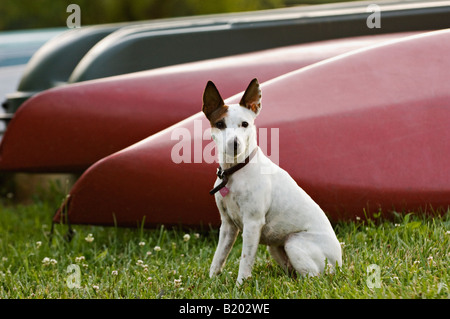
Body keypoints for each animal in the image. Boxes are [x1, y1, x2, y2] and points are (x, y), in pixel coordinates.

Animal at [202, 79, 342, 286]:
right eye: (220, 124)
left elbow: (245, 260)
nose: (234, 144)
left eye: (245, 124)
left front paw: (240, 285)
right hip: (276, 248)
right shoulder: (227, 226)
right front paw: (211, 281)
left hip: (294, 243)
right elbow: (218, 258)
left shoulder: (252, 224)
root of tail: (339, 262)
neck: (235, 170)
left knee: (314, 277)